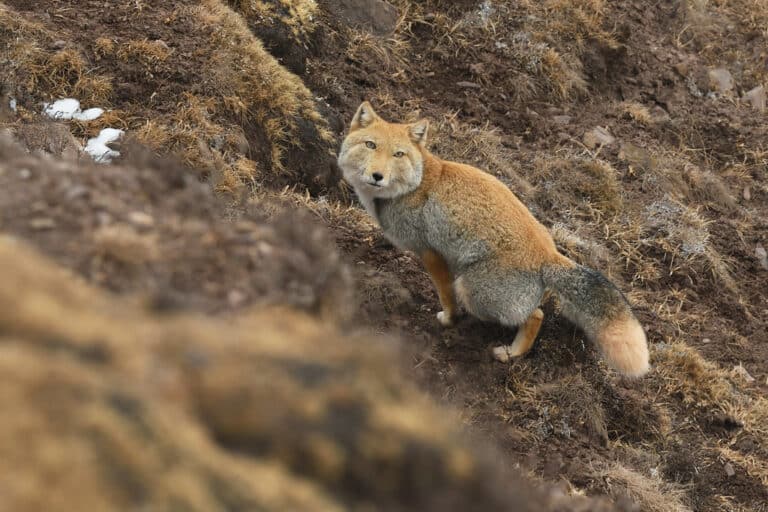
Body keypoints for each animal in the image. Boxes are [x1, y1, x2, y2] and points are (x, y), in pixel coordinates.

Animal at [337, 102, 650, 377]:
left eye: (398, 154)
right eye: (370, 145)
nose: (377, 176)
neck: (416, 184)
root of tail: (548, 254)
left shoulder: (432, 254)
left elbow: (445, 295)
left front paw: (448, 320)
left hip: (473, 291)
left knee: (536, 315)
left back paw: (511, 352)